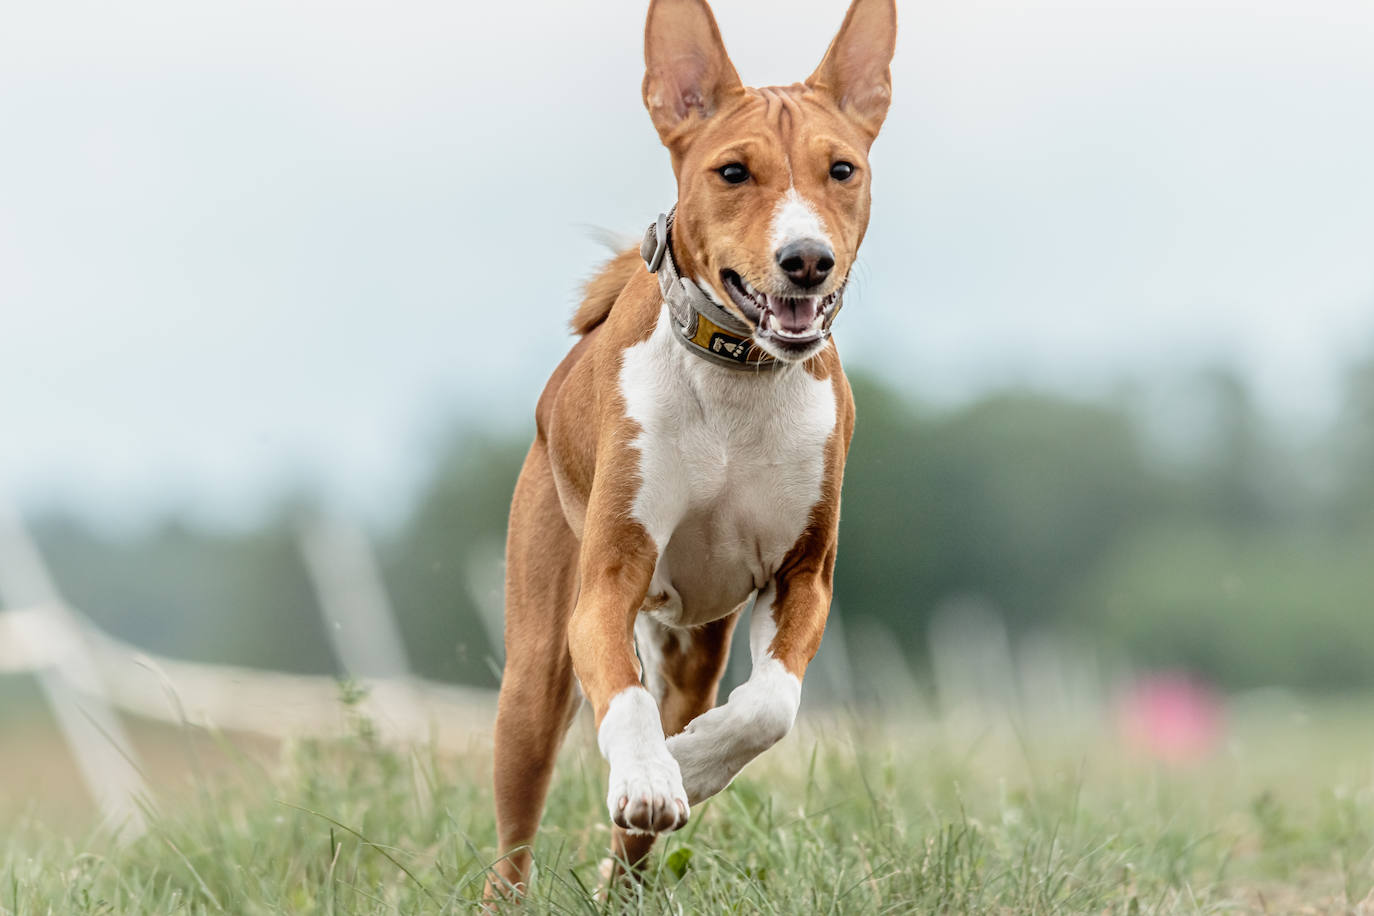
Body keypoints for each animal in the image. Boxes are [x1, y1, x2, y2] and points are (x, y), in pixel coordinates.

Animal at [489, 0, 895, 895]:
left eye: (841, 169)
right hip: (534, 672)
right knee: (514, 839)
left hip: (695, 651)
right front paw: (649, 773)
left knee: (640, 829)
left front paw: (695, 762)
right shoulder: (608, 581)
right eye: (733, 172)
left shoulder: (804, 573)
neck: (739, 379)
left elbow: (770, 707)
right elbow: (625, 704)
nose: (806, 261)